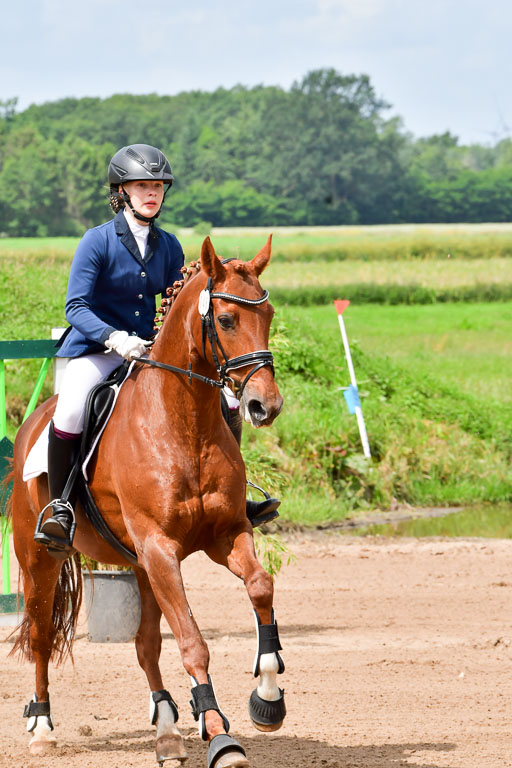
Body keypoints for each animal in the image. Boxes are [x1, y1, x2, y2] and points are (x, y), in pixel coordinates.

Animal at [7, 236, 286, 768]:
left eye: (269, 314)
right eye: (226, 320)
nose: (266, 406)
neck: (184, 423)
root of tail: (33, 422)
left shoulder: (223, 536)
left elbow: (260, 587)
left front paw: (267, 697)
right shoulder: (159, 547)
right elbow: (193, 643)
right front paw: (221, 738)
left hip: (140, 564)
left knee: (146, 644)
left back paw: (168, 730)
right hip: (40, 558)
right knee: (41, 636)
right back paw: (42, 727)